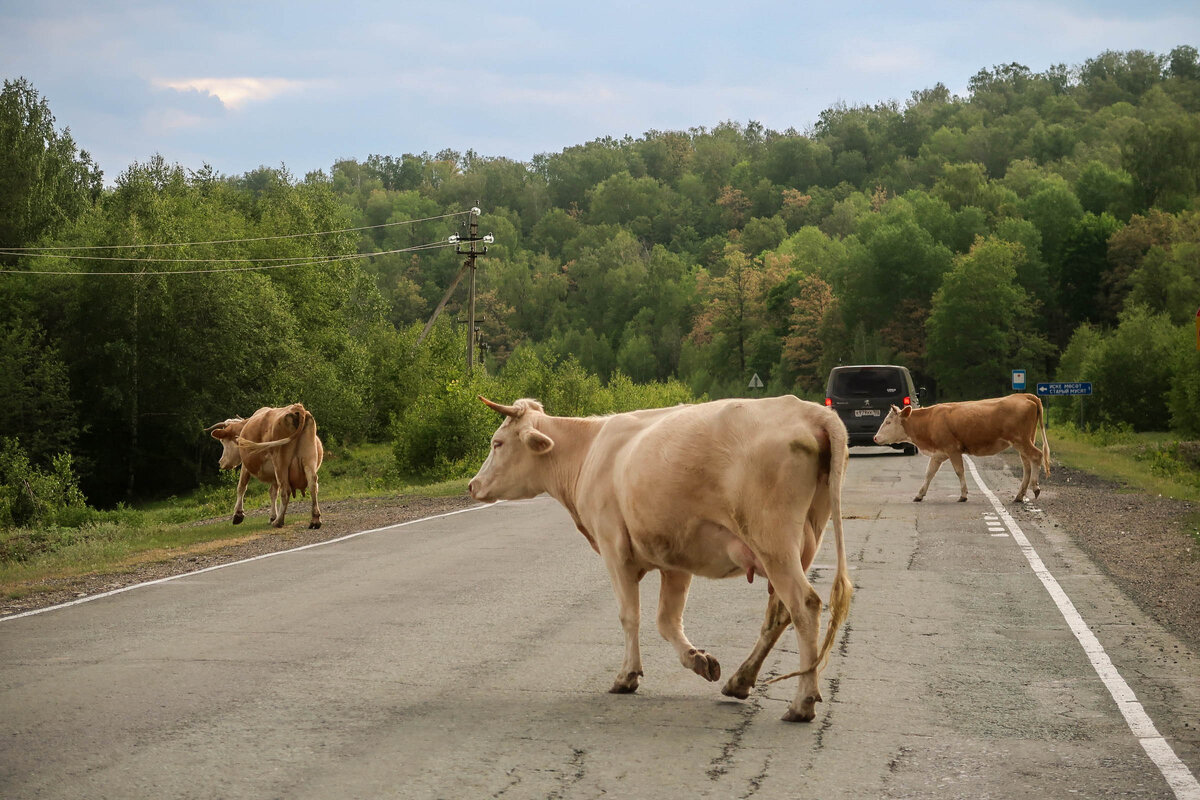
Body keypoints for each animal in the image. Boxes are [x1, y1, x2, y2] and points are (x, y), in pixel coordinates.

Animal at [468, 398, 854, 724]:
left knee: (804, 605)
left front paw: (627, 676)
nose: (472, 485)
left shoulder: (614, 548)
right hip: (801, 545)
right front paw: (698, 661)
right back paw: (740, 681)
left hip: (773, 542)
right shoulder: (675, 558)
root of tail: (807, 410)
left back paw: (801, 702)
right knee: (779, 614)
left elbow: (630, 616)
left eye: (497, 443)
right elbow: (667, 620)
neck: (588, 450)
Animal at [873, 393, 1051, 503]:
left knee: (1037, 456)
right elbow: (929, 473)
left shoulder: (953, 450)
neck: (930, 420)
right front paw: (919, 494)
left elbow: (959, 471)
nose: (875, 437)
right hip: (1024, 442)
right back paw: (1020, 495)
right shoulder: (938, 454)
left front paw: (963, 495)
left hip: (1021, 440)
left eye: (888, 422)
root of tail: (1023, 395)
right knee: (1027, 465)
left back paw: (1035, 487)